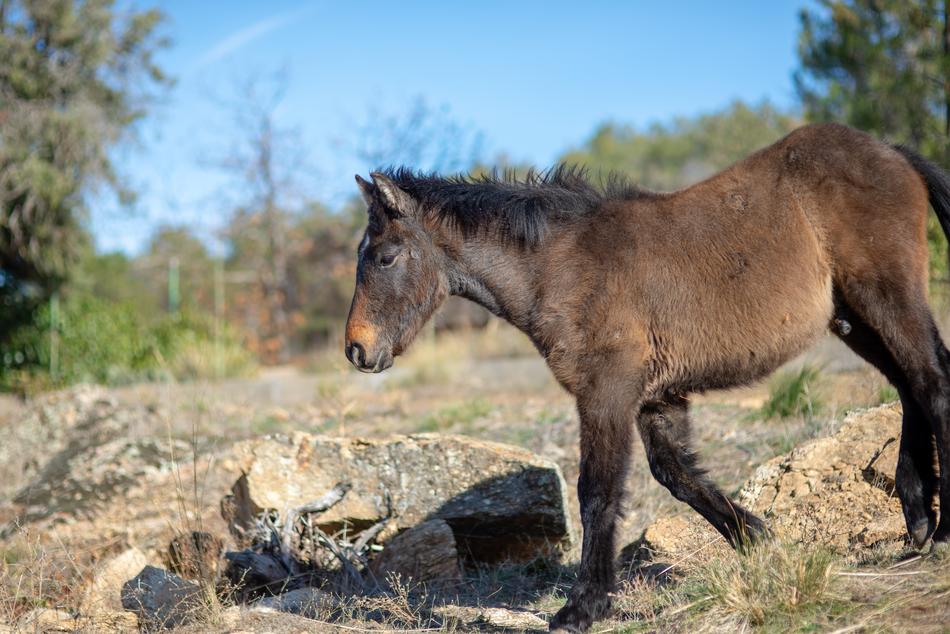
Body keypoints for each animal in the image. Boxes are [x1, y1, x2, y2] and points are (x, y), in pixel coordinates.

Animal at [344, 122, 950, 632]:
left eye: (387, 256)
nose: (357, 349)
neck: (560, 265)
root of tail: (891, 150)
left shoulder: (605, 393)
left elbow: (597, 491)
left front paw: (582, 607)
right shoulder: (656, 398)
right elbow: (677, 475)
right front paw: (763, 543)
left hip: (886, 296)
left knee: (933, 384)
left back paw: (939, 532)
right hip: (854, 319)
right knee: (911, 386)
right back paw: (917, 517)